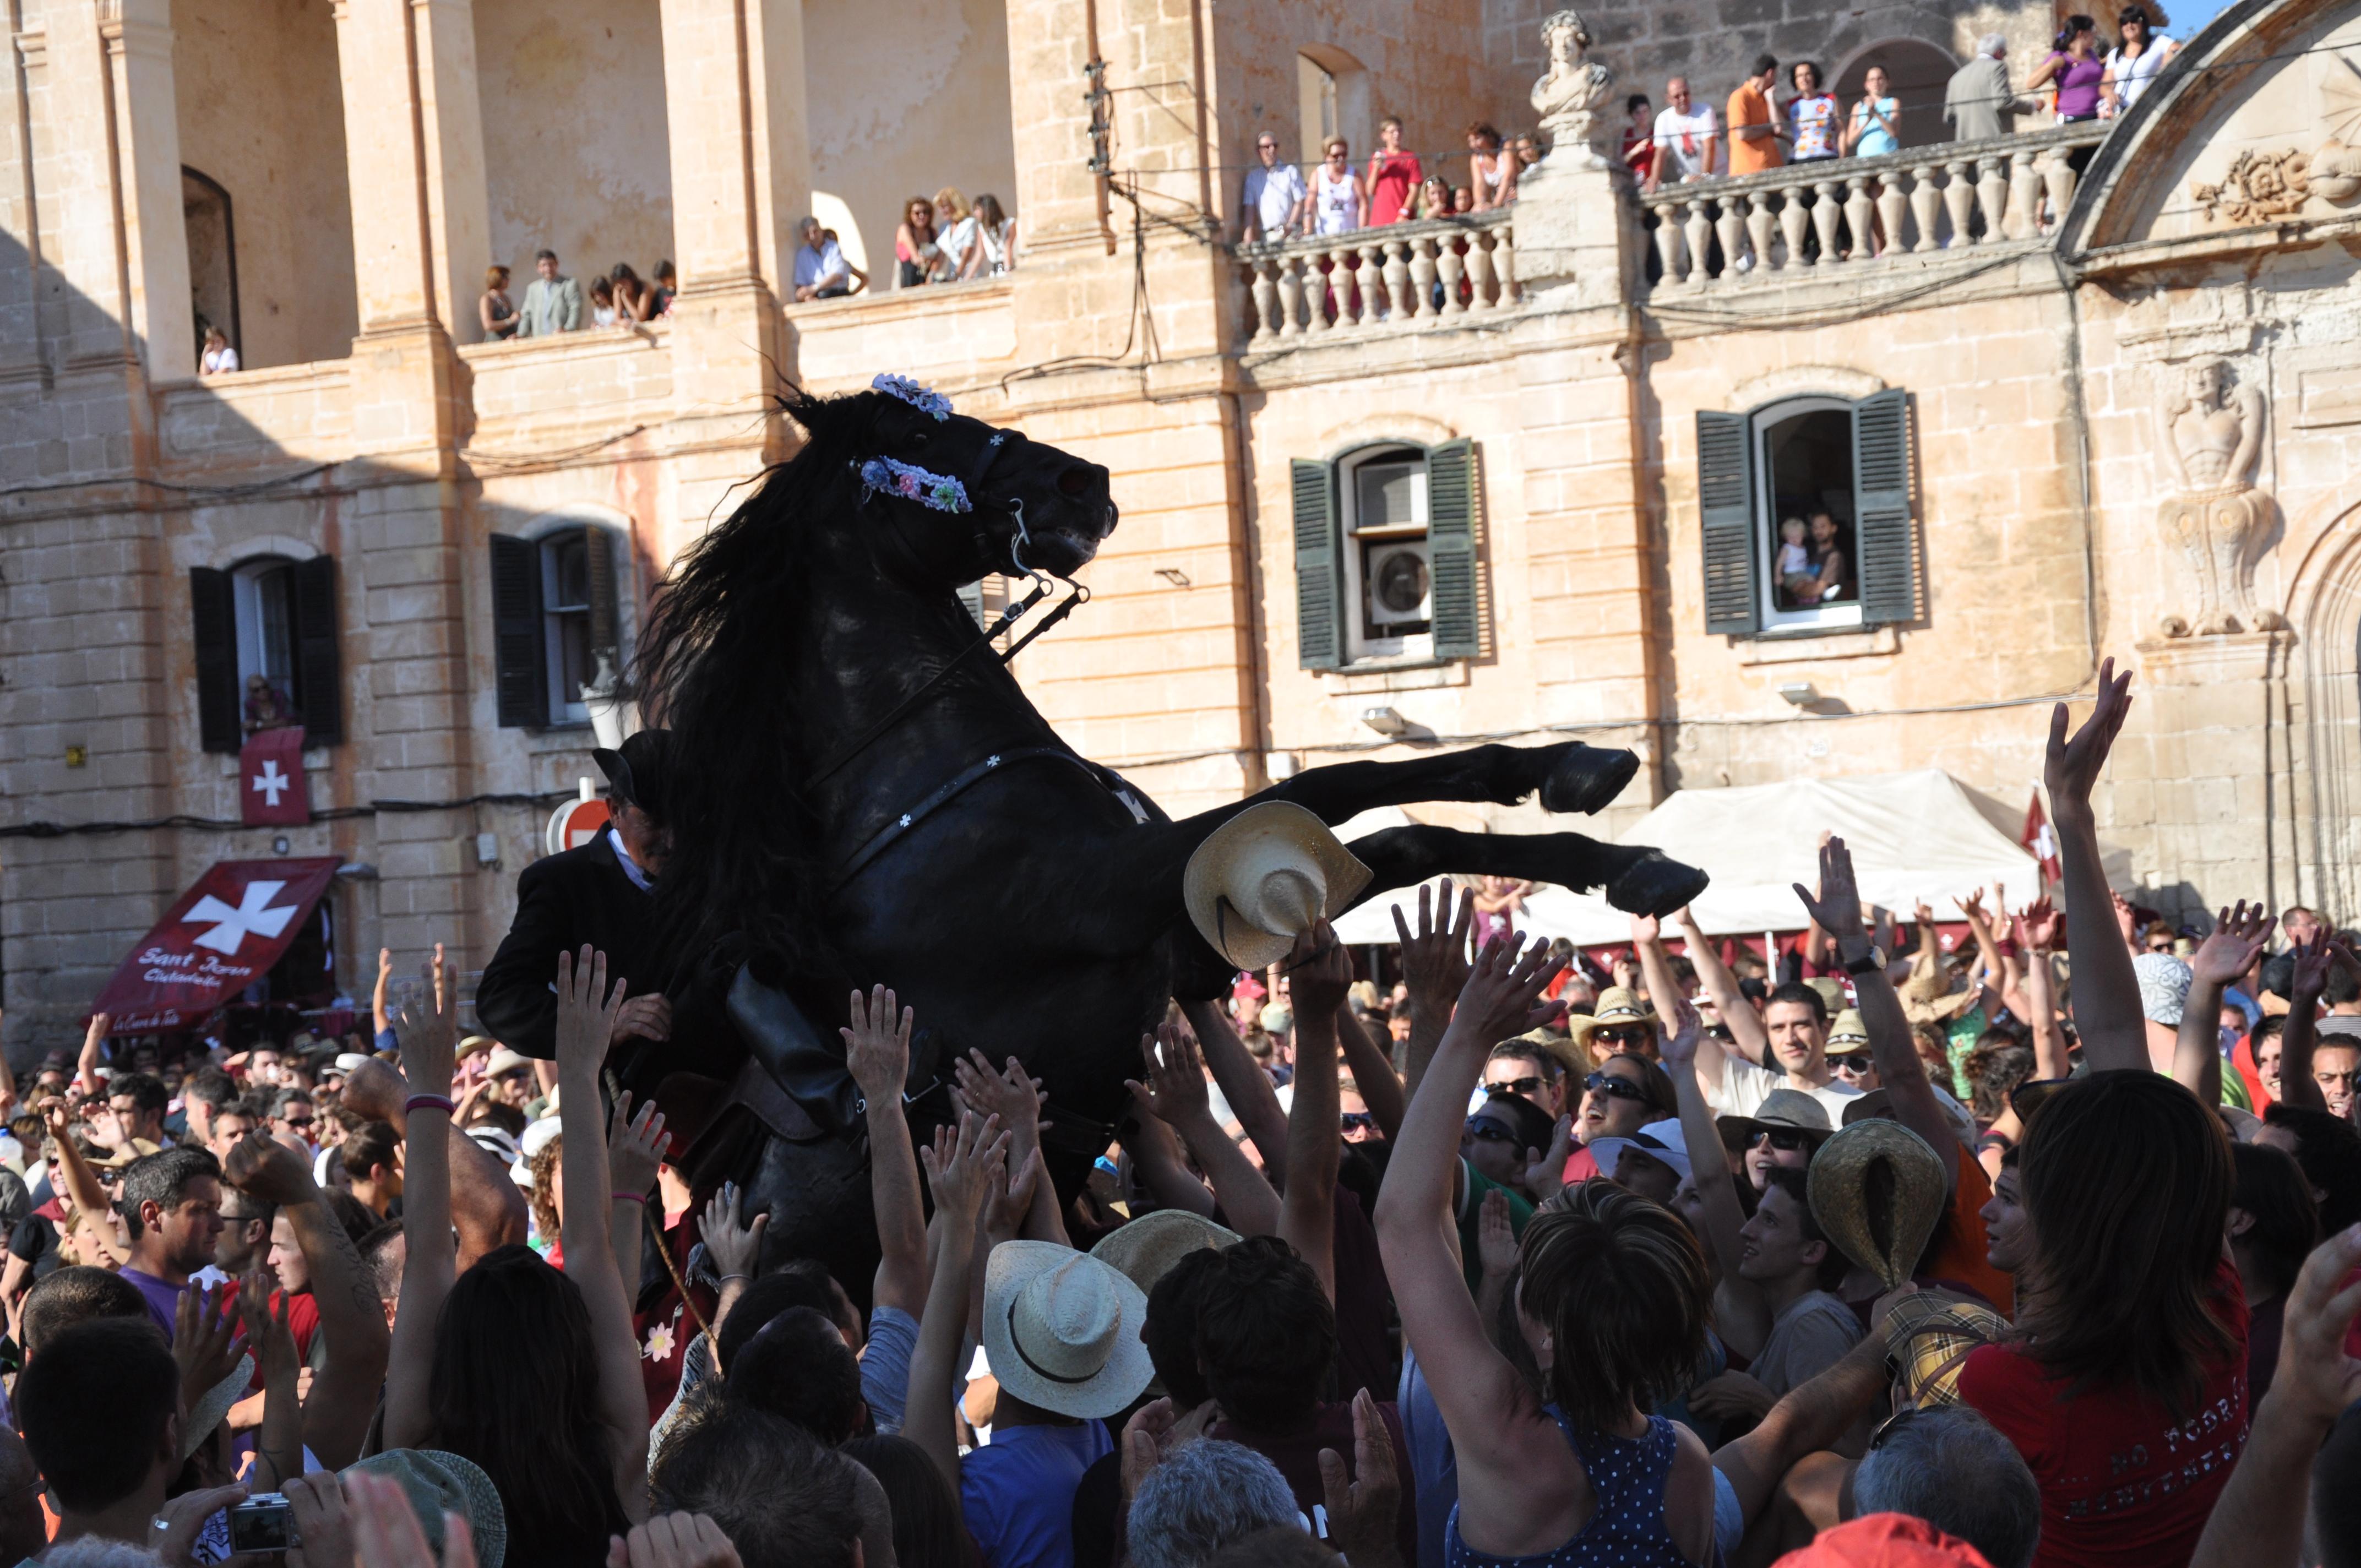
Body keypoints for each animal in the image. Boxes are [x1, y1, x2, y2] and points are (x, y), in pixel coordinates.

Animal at [637, 380, 1709, 1284]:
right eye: (913, 436)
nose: (1083, 481)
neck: (914, 776)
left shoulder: (1184, 942)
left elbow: (1367, 813)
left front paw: (1596, 812)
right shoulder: (1108, 896)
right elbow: (1328, 793)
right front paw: (1607, 836)